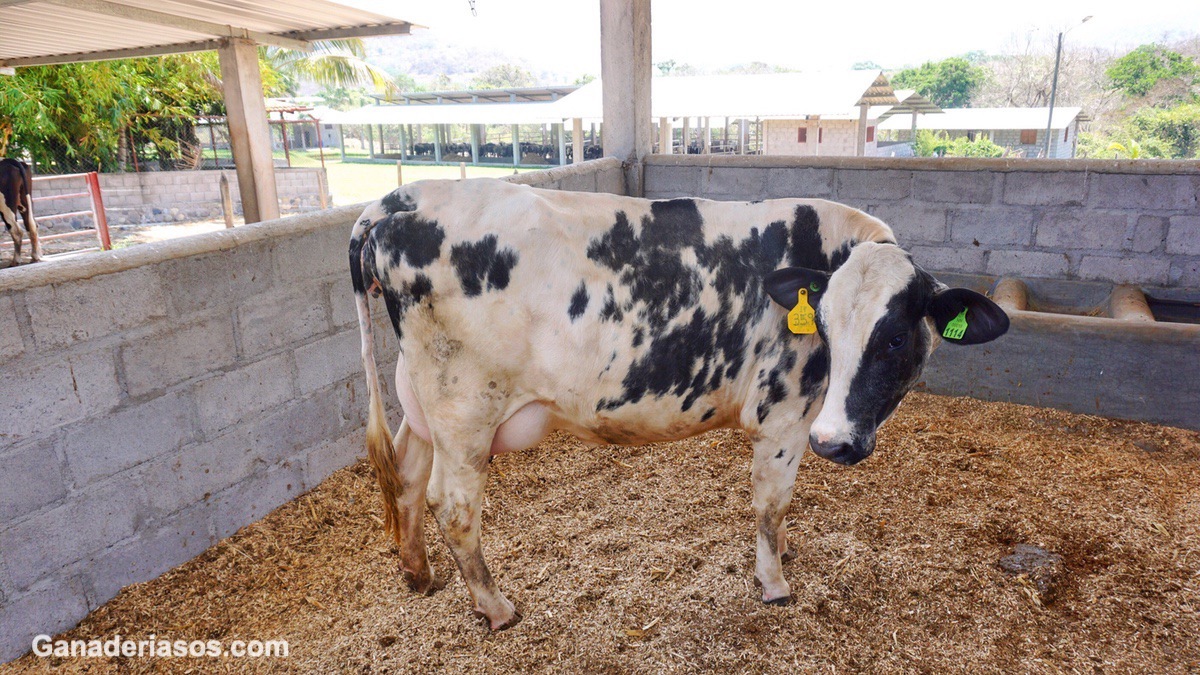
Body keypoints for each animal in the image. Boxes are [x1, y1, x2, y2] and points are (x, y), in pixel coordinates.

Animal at [350, 177, 1008, 624]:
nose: (835, 442)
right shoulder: (784, 417)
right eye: (821, 325)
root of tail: (400, 201)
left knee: (406, 474)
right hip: (464, 409)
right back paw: (496, 607)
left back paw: (418, 574)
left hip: (425, 404)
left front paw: (785, 553)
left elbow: (782, 512)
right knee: (451, 504)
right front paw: (774, 583)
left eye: (894, 336)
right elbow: (771, 504)